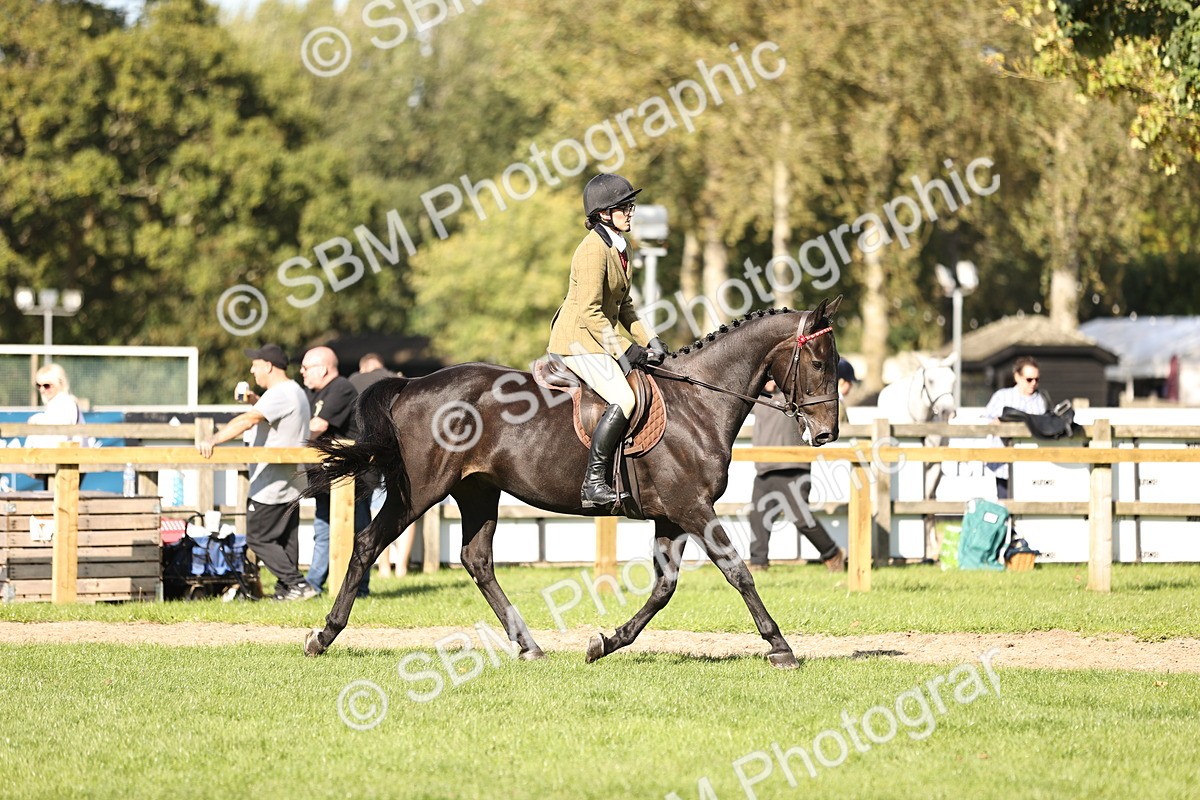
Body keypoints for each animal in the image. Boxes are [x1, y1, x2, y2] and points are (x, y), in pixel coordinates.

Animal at [303, 297, 844, 669]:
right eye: (819, 363)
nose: (826, 434)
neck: (699, 404)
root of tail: (412, 384)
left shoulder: (672, 516)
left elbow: (663, 588)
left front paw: (605, 643)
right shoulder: (693, 509)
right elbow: (738, 572)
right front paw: (780, 646)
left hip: (478, 491)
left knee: (477, 561)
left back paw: (529, 645)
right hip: (419, 492)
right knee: (368, 542)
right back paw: (324, 635)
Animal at [875, 354, 957, 559]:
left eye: (953, 380)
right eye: (931, 381)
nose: (948, 411)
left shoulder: (934, 467)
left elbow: (926, 504)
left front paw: (928, 549)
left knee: (932, 499)